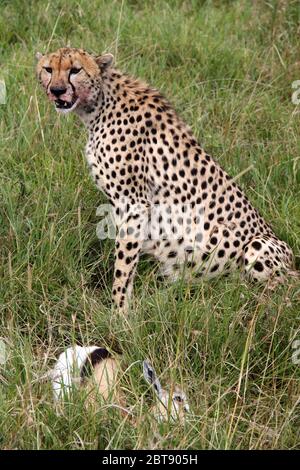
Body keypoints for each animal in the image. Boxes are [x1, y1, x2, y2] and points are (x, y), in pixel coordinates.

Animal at [37, 47, 298, 312]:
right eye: (48, 69)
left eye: (75, 70)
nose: (56, 90)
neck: (99, 104)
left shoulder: (134, 203)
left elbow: (124, 264)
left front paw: (119, 312)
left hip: (260, 245)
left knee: (279, 292)